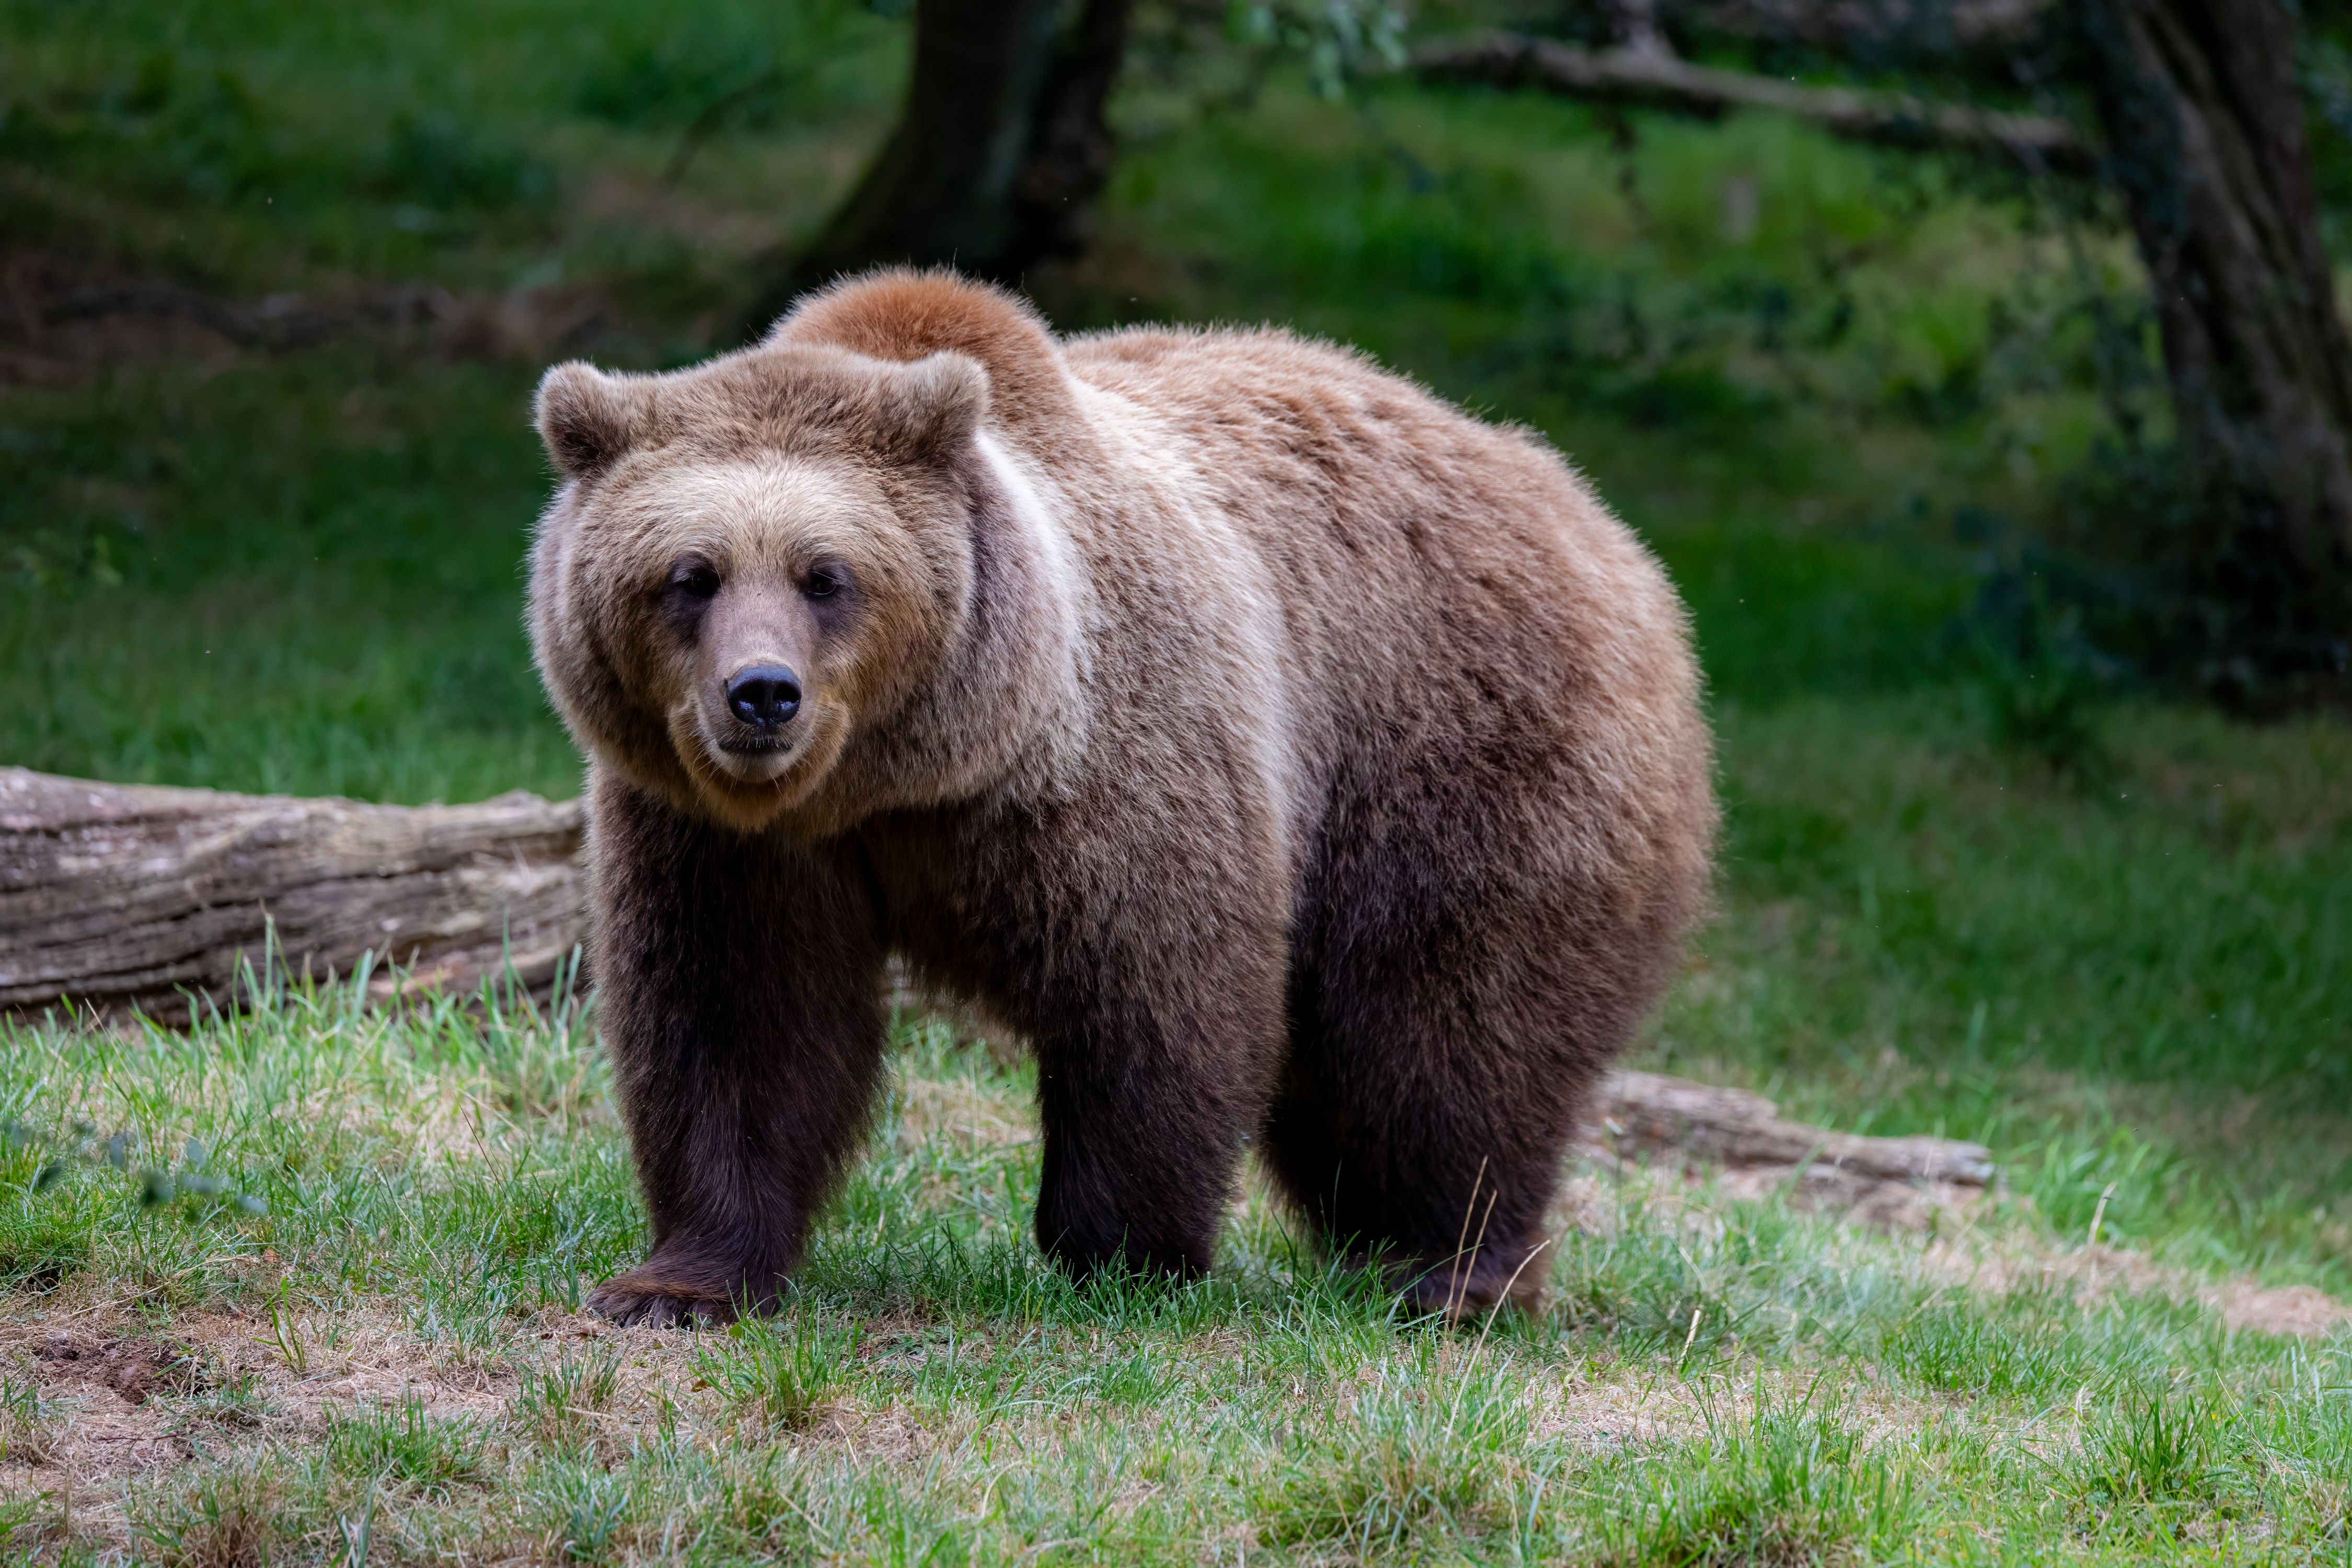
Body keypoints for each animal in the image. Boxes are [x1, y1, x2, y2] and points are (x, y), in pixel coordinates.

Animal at [527, 270, 1714, 1327]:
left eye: (828, 575)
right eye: (691, 575)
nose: (762, 695)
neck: (900, 780)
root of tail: (1597, 520)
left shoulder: (1113, 764)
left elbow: (1153, 989)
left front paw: (1125, 1254)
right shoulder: (721, 835)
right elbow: (735, 1020)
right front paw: (677, 1283)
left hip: (1458, 750)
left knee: (1447, 1031)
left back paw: (1452, 1275)